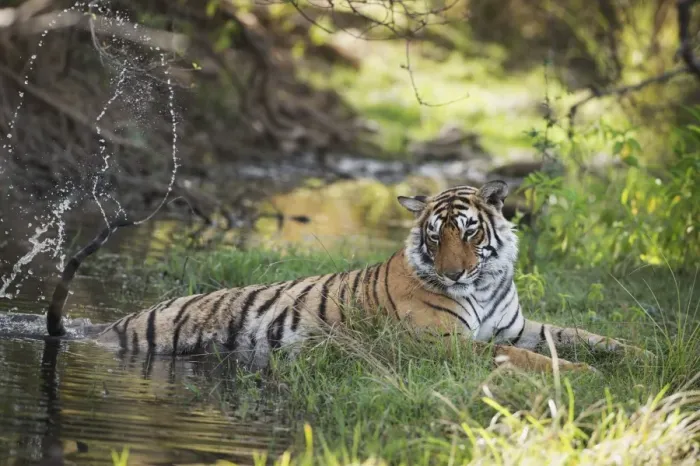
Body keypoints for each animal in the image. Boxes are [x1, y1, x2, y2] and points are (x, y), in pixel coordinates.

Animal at [84, 180, 648, 372]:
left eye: (469, 232)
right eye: (435, 237)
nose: (455, 272)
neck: (484, 284)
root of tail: (109, 327)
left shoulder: (515, 326)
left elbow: (576, 335)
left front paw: (639, 355)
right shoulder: (442, 343)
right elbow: (529, 358)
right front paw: (587, 377)